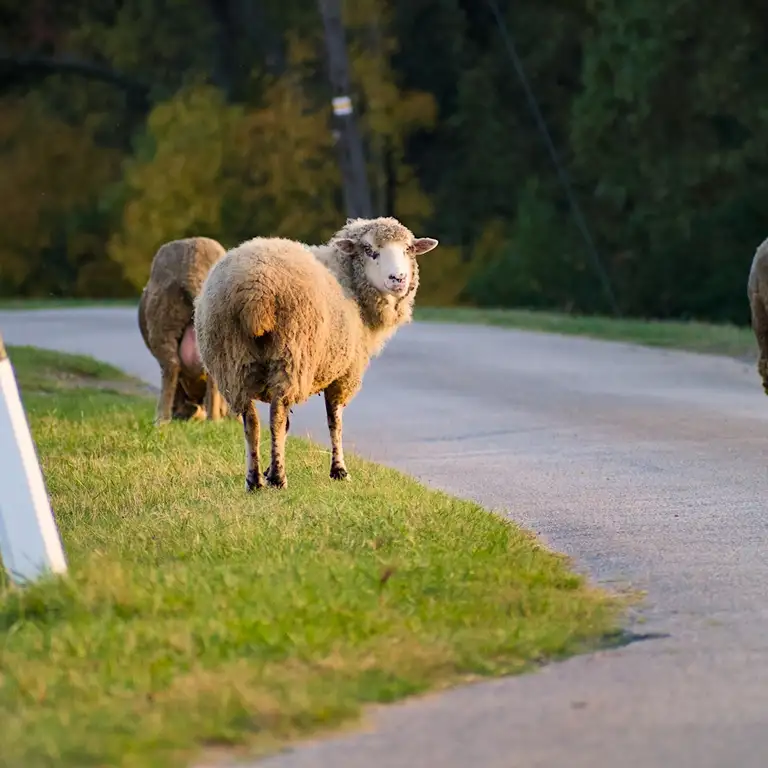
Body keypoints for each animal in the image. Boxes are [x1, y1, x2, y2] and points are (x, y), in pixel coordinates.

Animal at [195, 216, 438, 492]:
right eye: (369, 250)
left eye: (408, 249)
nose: (398, 278)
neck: (348, 280)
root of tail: (254, 291)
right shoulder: (344, 373)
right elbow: (335, 421)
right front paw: (339, 471)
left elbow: (289, 427)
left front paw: (269, 469)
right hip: (292, 354)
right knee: (276, 417)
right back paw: (279, 478)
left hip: (232, 362)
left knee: (252, 422)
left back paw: (255, 480)